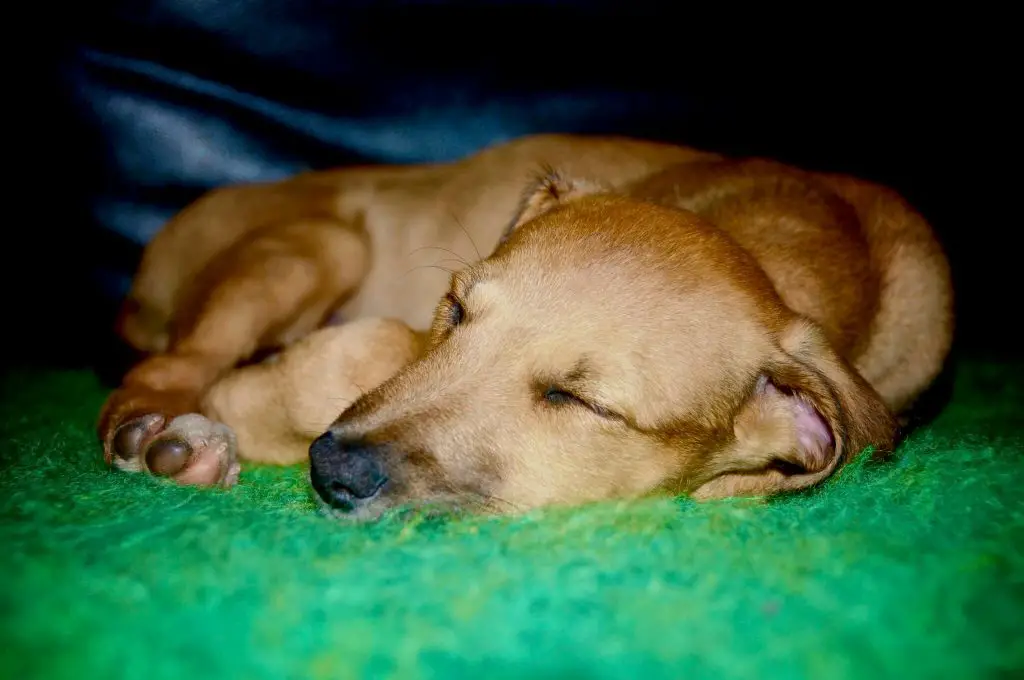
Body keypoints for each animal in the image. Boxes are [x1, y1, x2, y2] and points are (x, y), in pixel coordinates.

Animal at [97, 134, 950, 520]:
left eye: (581, 402)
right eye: (454, 309)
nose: (329, 471)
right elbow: (357, 352)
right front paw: (238, 410)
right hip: (318, 244)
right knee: (158, 371)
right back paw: (172, 434)